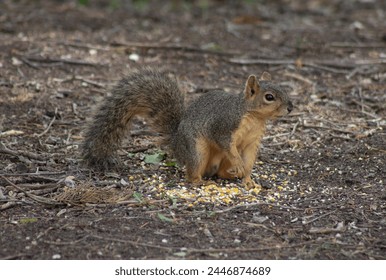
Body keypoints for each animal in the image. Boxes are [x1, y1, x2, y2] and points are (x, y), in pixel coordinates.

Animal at [81, 67, 292, 188]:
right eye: (269, 97)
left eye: (284, 89)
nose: (290, 108)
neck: (254, 117)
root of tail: (176, 141)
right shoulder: (224, 127)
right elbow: (229, 148)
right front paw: (239, 165)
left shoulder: (251, 142)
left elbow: (248, 160)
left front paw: (248, 179)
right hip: (197, 151)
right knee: (192, 174)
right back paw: (202, 182)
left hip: (218, 160)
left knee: (220, 172)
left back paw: (231, 173)